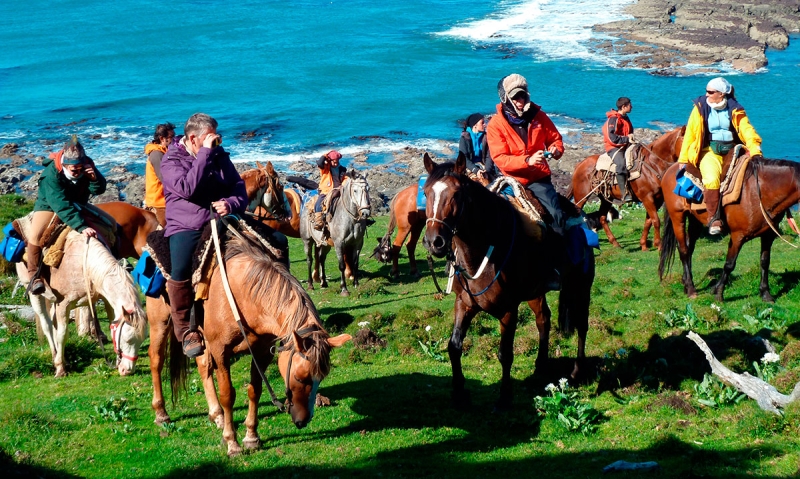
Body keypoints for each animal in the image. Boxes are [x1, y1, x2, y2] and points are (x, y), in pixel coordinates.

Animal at [16, 232, 148, 378]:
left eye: (142, 340)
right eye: (128, 340)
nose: (127, 370)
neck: (85, 266)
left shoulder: (105, 299)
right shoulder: (63, 304)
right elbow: (62, 334)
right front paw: (60, 369)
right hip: (34, 294)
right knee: (47, 325)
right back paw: (56, 356)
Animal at [418, 154, 592, 408]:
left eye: (457, 194)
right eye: (426, 192)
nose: (434, 242)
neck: (482, 251)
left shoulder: (508, 310)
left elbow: (505, 354)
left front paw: (504, 396)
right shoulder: (464, 303)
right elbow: (454, 346)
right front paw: (459, 392)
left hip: (581, 286)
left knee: (581, 325)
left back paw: (578, 372)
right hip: (536, 292)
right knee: (544, 319)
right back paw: (540, 367)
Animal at [656, 155, 800, 304]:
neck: (760, 192)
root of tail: (671, 168)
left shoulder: (768, 235)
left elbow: (765, 262)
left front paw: (765, 293)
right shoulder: (738, 236)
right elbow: (729, 264)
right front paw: (718, 293)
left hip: (695, 219)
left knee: (689, 249)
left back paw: (686, 284)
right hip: (677, 216)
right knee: (683, 250)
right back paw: (691, 289)